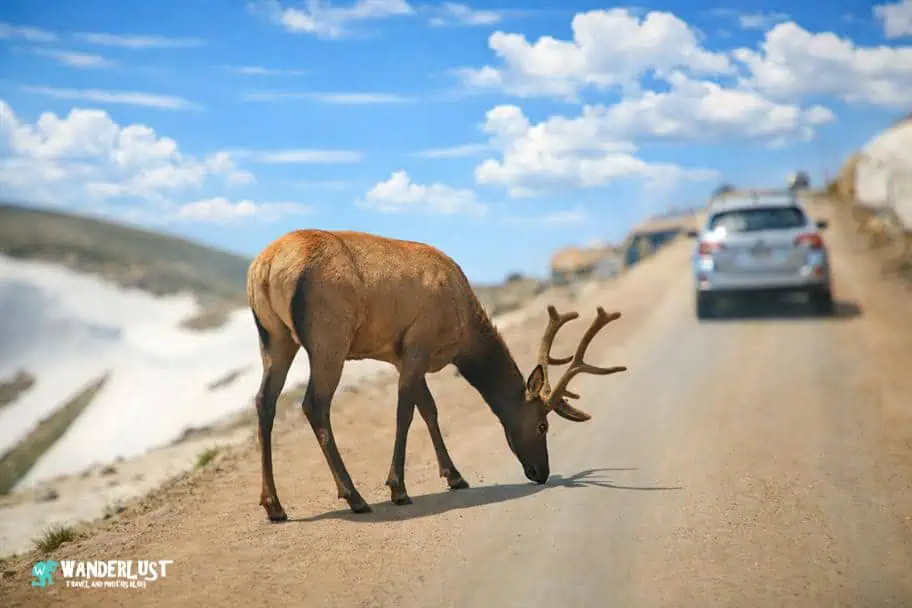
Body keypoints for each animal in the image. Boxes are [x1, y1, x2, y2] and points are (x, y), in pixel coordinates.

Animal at [246, 229, 627, 521]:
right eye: (542, 425)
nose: (541, 473)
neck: (464, 332)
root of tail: (265, 269)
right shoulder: (418, 344)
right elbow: (406, 414)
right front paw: (398, 488)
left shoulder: (403, 356)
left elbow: (429, 410)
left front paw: (454, 476)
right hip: (328, 337)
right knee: (314, 404)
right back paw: (354, 496)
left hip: (274, 338)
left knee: (264, 401)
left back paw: (274, 506)